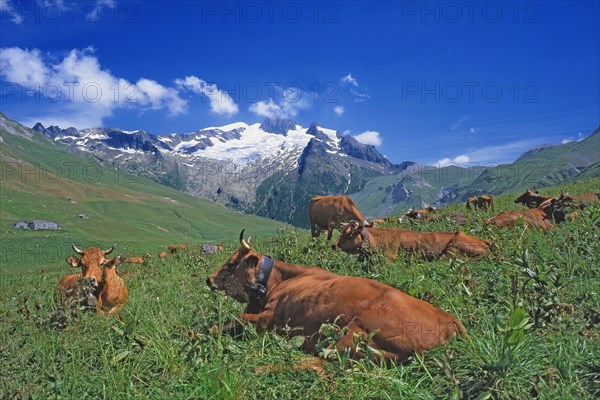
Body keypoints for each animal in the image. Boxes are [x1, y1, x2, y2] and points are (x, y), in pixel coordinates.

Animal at [207, 231, 468, 366]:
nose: (209, 279)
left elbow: (227, 322)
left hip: (350, 337)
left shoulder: (267, 319)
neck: (277, 281)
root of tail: (450, 321)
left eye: (231, 264)